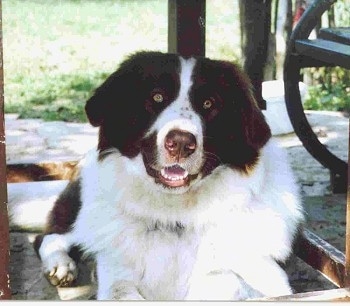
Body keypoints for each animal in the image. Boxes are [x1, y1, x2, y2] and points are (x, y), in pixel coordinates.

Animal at [34, 51, 304, 300]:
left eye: (209, 104)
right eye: (157, 97)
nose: (182, 143)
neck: (176, 217)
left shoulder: (271, 276)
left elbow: (226, 279)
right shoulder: (115, 275)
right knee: (48, 237)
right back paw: (60, 265)